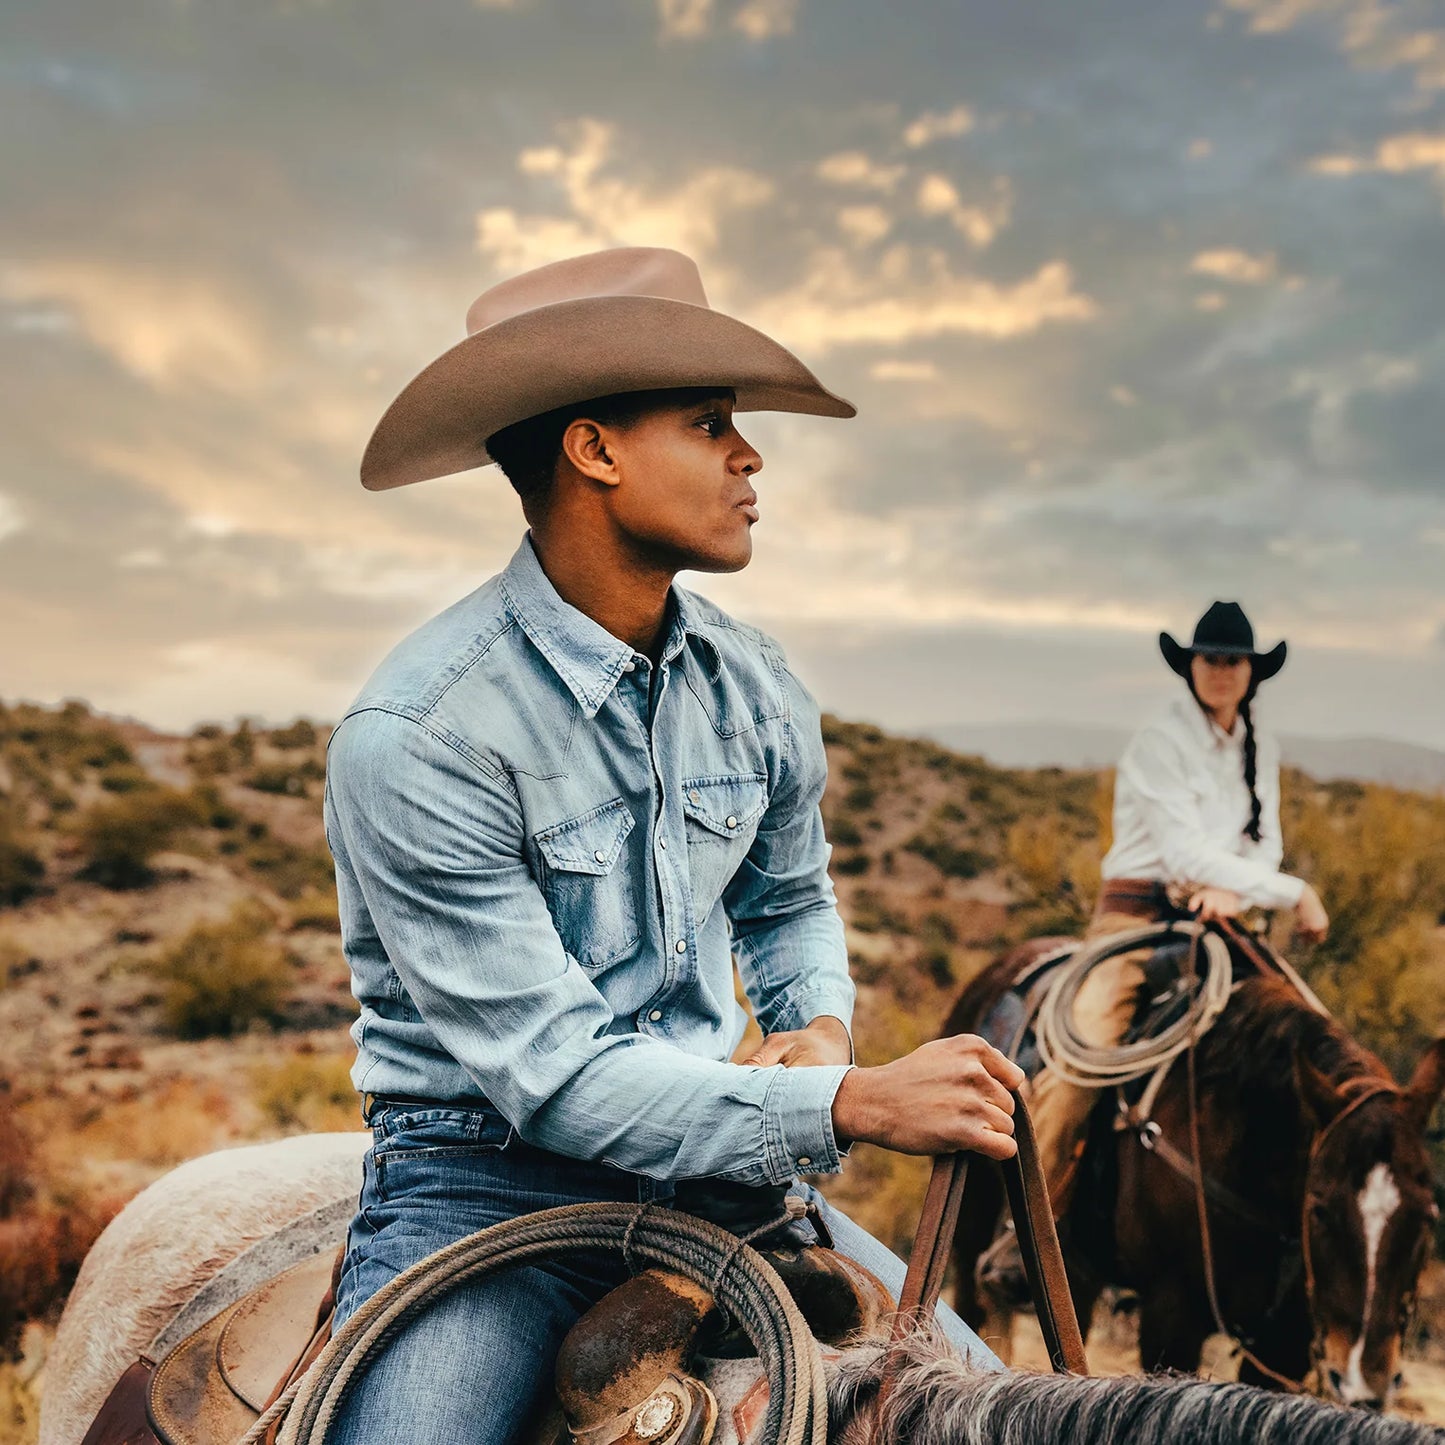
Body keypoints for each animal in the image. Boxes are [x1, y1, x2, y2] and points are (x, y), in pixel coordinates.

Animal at [947, 942, 1445, 1416]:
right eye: (1320, 1210)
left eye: (1428, 1218)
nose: (1366, 1382)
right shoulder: (1172, 1315)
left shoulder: (1284, 1347)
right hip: (972, 1231)